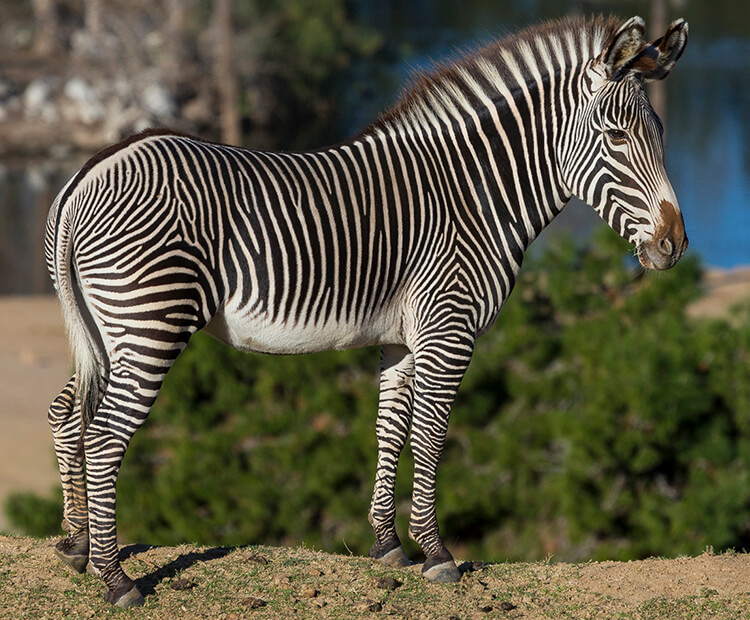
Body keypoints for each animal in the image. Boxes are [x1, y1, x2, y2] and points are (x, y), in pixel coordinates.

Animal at [45, 13, 692, 604]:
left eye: (662, 136)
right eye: (617, 138)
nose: (675, 246)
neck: (472, 194)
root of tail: (88, 172)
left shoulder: (403, 339)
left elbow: (390, 427)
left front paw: (389, 546)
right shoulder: (450, 328)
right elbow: (430, 435)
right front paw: (437, 554)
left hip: (106, 330)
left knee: (66, 412)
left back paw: (76, 547)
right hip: (151, 322)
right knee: (104, 433)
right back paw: (115, 579)